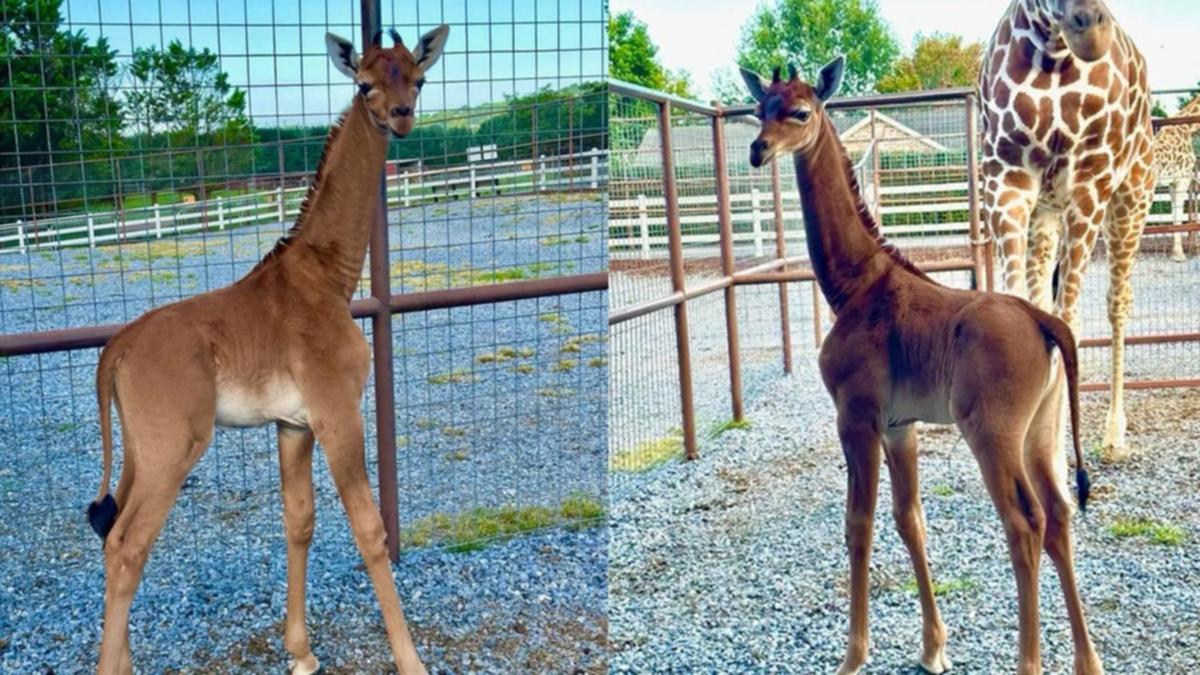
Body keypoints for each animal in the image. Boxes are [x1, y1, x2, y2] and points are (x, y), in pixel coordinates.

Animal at [85, 26, 451, 672]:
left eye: (419, 76)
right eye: (364, 83)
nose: (402, 116)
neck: (328, 278)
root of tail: (117, 350)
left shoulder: (292, 424)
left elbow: (298, 520)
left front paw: (301, 652)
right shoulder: (337, 413)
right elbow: (369, 529)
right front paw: (412, 661)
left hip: (137, 452)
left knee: (110, 536)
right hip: (173, 448)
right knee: (129, 546)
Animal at [744, 56, 1099, 672]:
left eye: (800, 111)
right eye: (759, 107)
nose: (758, 150)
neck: (854, 285)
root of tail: (1044, 321)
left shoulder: (856, 417)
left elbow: (858, 524)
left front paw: (853, 656)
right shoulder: (898, 425)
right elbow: (910, 520)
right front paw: (934, 647)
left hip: (993, 433)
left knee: (1024, 522)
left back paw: (1029, 660)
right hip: (1042, 431)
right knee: (1058, 515)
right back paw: (1088, 661)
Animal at [979, 0, 1156, 461]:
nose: (1090, 29)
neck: (1054, 56)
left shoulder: (1089, 183)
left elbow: (1069, 320)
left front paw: (1056, 457)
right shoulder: (1007, 179)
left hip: (1131, 198)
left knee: (1118, 302)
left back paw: (1114, 434)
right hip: (1046, 214)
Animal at [1152, 93, 1200, 261]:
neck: (1188, 128)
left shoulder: (1172, 183)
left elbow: (1174, 214)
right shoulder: (1183, 178)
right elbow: (1178, 215)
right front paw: (1179, 254)